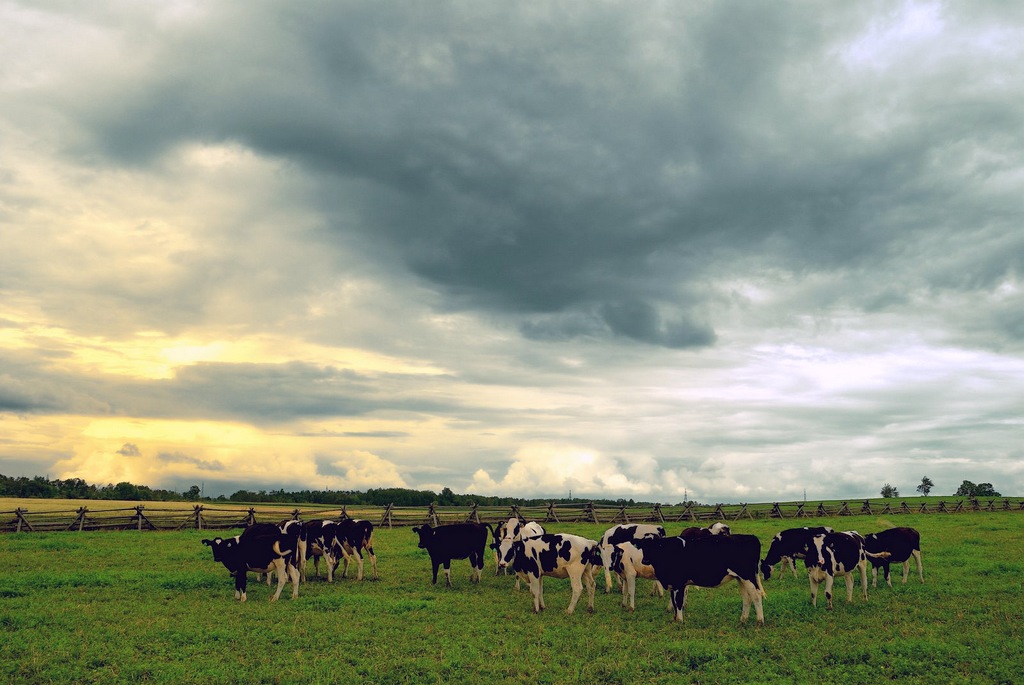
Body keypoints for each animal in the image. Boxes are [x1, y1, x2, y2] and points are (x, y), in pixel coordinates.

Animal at [634, 532, 765, 626]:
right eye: (643, 546)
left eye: (656, 545)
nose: (645, 560)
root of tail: (750, 537)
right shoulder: (673, 584)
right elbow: (674, 602)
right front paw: (675, 619)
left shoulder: (679, 583)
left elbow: (679, 601)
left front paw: (680, 621)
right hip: (740, 578)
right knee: (747, 597)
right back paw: (743, 620)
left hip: (747, 576)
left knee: (756, 595)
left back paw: (759, 621)